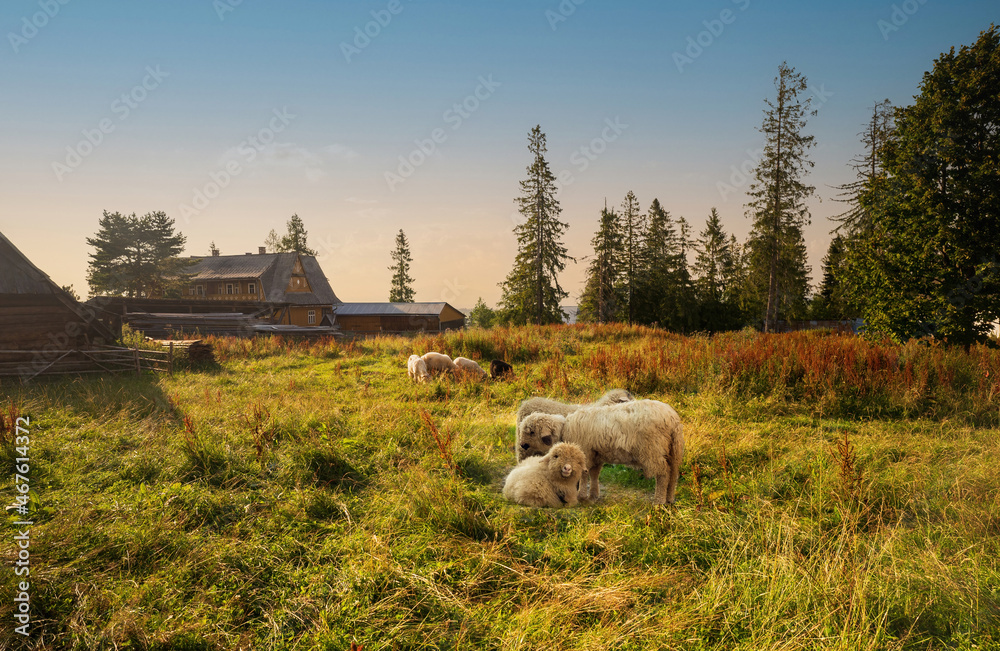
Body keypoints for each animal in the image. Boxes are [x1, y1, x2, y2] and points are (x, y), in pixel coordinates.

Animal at [516, 399, 684, 505]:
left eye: (531, 432)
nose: (522, 445)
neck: (565, 429)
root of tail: (672, 418)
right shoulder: (596, 454)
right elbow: (594, 474)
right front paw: (593, 495)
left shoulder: (584, 451)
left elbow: (584, 474)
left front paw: (581, 495)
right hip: (673, 450)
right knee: (673, 474)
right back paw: (670, 499)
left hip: (653, 449)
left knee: (663, 474)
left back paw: (659, 501)